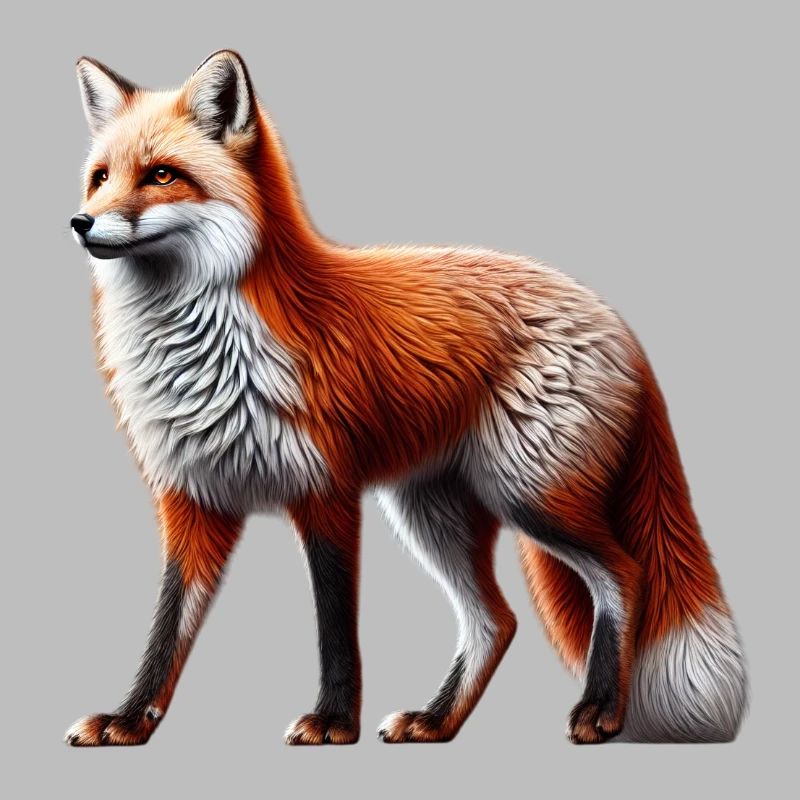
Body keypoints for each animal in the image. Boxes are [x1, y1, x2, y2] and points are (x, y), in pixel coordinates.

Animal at [66, 50, 747, 747]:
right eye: (100, 178)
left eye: (162, 175)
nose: (81, 222)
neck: (208, 355)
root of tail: (613, 318)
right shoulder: (192, 500)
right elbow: (165, 629)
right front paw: (129, 719)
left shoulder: (326, 491)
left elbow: (336, 626)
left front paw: (334, 722)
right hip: (431, 512)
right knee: (496, 620)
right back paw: (438, 720)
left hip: (531, 497)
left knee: (623, 575)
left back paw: (601, 709)